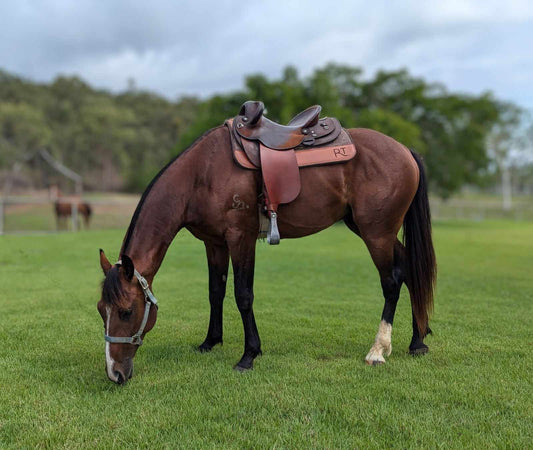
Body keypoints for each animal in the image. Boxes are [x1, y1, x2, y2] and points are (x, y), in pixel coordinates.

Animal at [97, 120, 434, 386]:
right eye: (102, 311)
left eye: (126, 312)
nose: (115, 374)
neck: (200, 174)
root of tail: (405, 150)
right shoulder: (214, 243)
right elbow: (215, 292)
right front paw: (210, 342)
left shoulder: (240, 238)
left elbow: (243, 295)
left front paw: (249, 355)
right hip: (372, 230)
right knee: (409, 269)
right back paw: (417, 341)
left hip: (377, 233)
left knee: (391, 282)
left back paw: (378, 350)